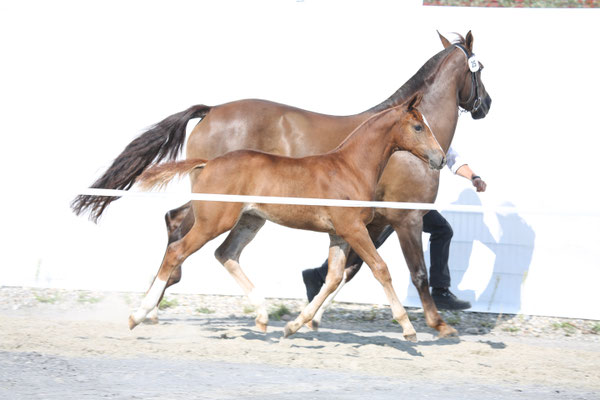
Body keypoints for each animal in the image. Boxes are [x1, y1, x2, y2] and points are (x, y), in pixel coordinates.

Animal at [130, 94, 446, 340]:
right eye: (418, 126)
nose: (440, 158)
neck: (349, 167)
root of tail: (207, 164)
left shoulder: (339, 234)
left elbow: (333, 277)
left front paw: (295, 325)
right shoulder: (353, 228)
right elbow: (380, 268)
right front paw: (408, 328)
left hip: (250, 220)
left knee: (226, 253)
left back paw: (262, 316)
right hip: (213, 222)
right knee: (177, 250)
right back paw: (139, 314)